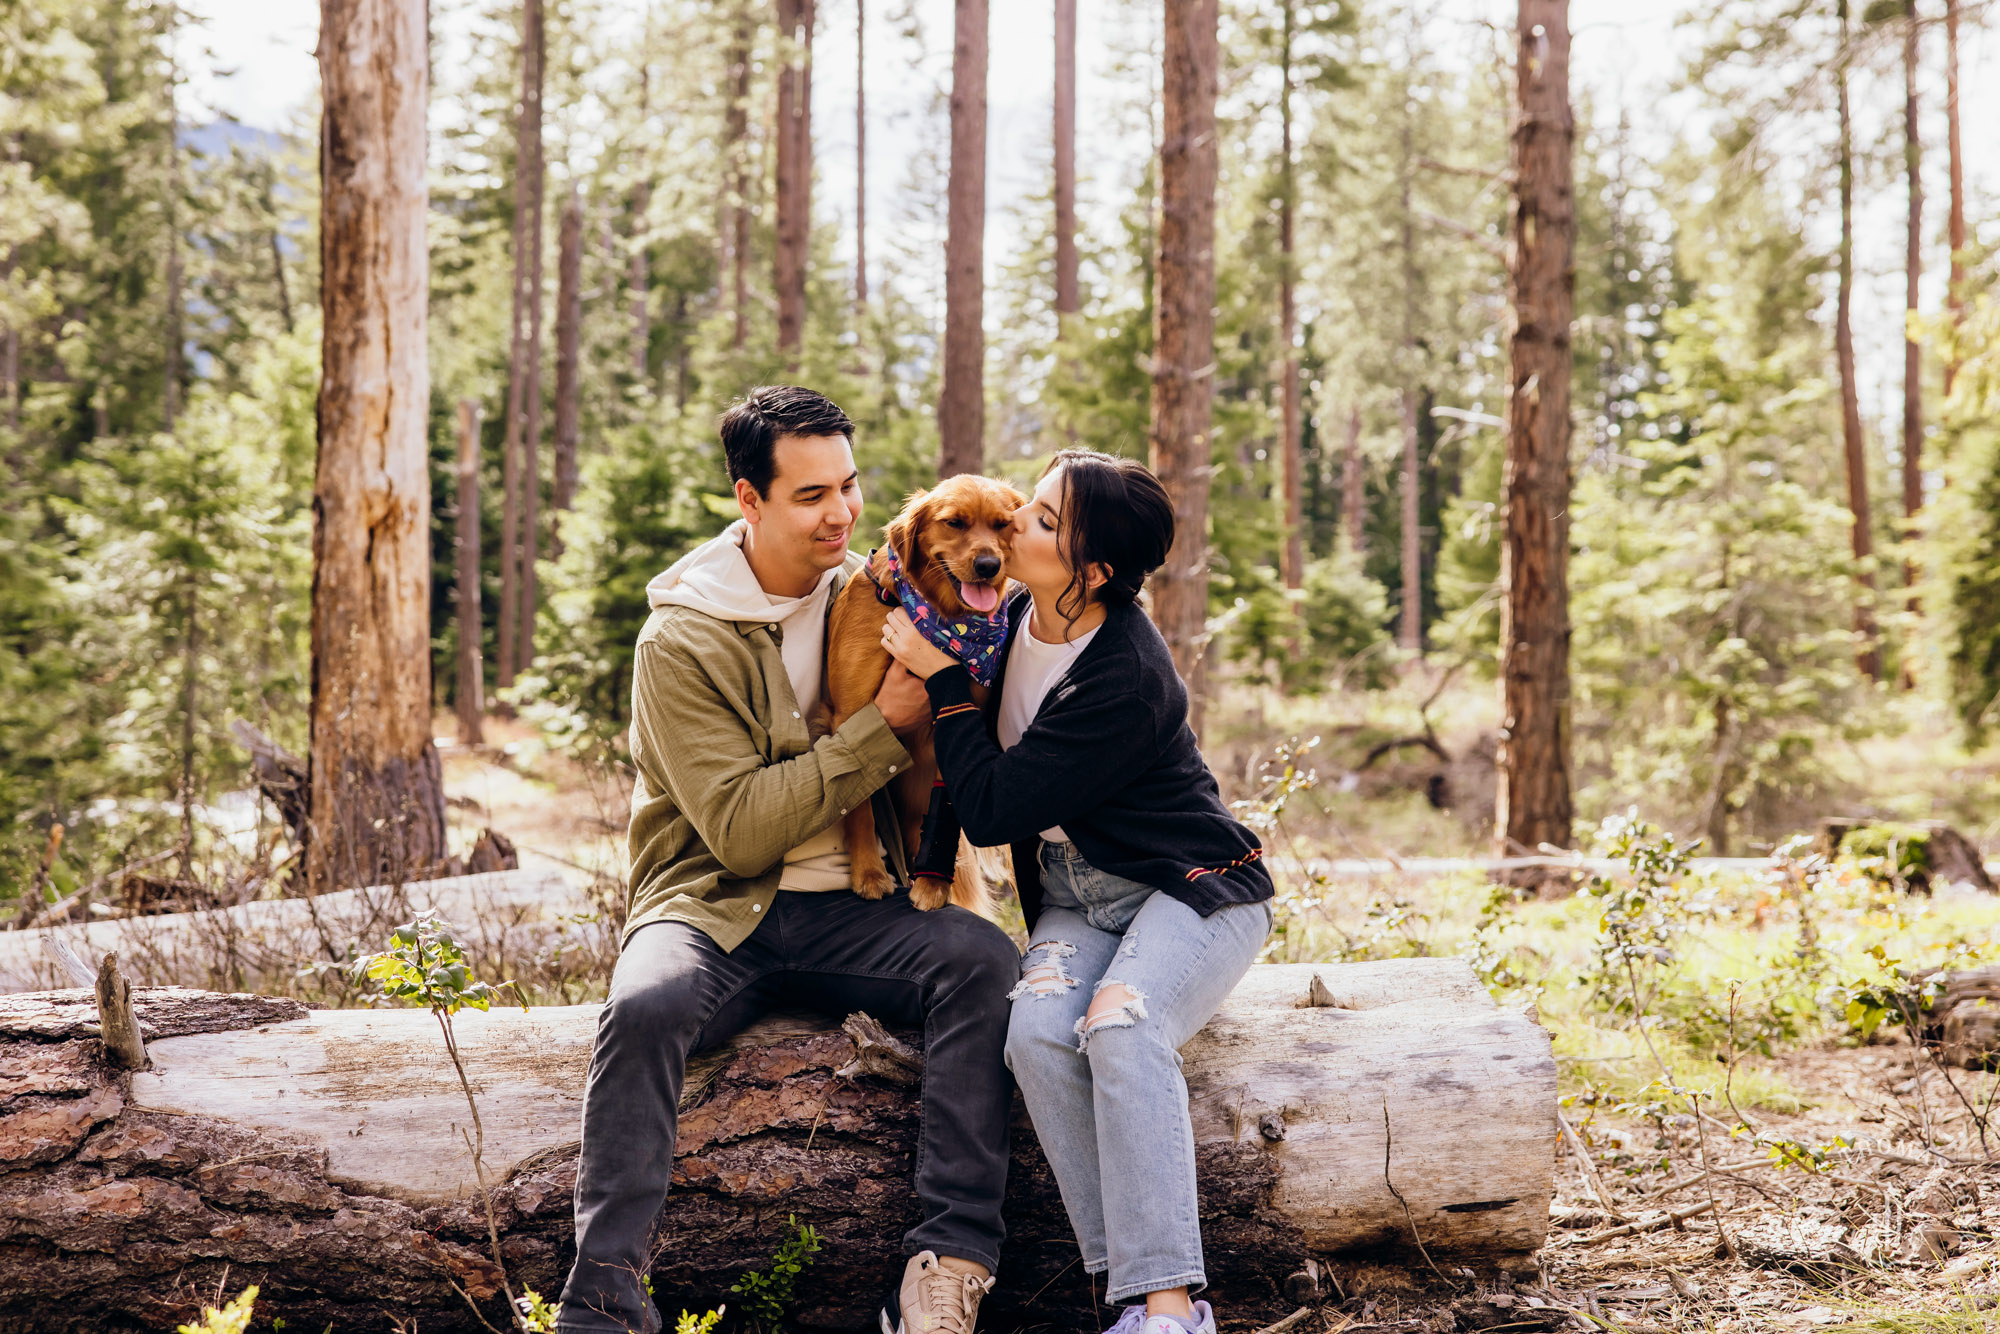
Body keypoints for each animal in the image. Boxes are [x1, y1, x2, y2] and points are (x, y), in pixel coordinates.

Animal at [820, 472, 1024, 920]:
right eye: (954, 523)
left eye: (1003, 525)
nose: (989, 566)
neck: (937, 617)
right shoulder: (850, 716)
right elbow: (860, 805)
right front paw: (868, 875)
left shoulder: (960, 718)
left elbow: (947, 807)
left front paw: (933, 885)